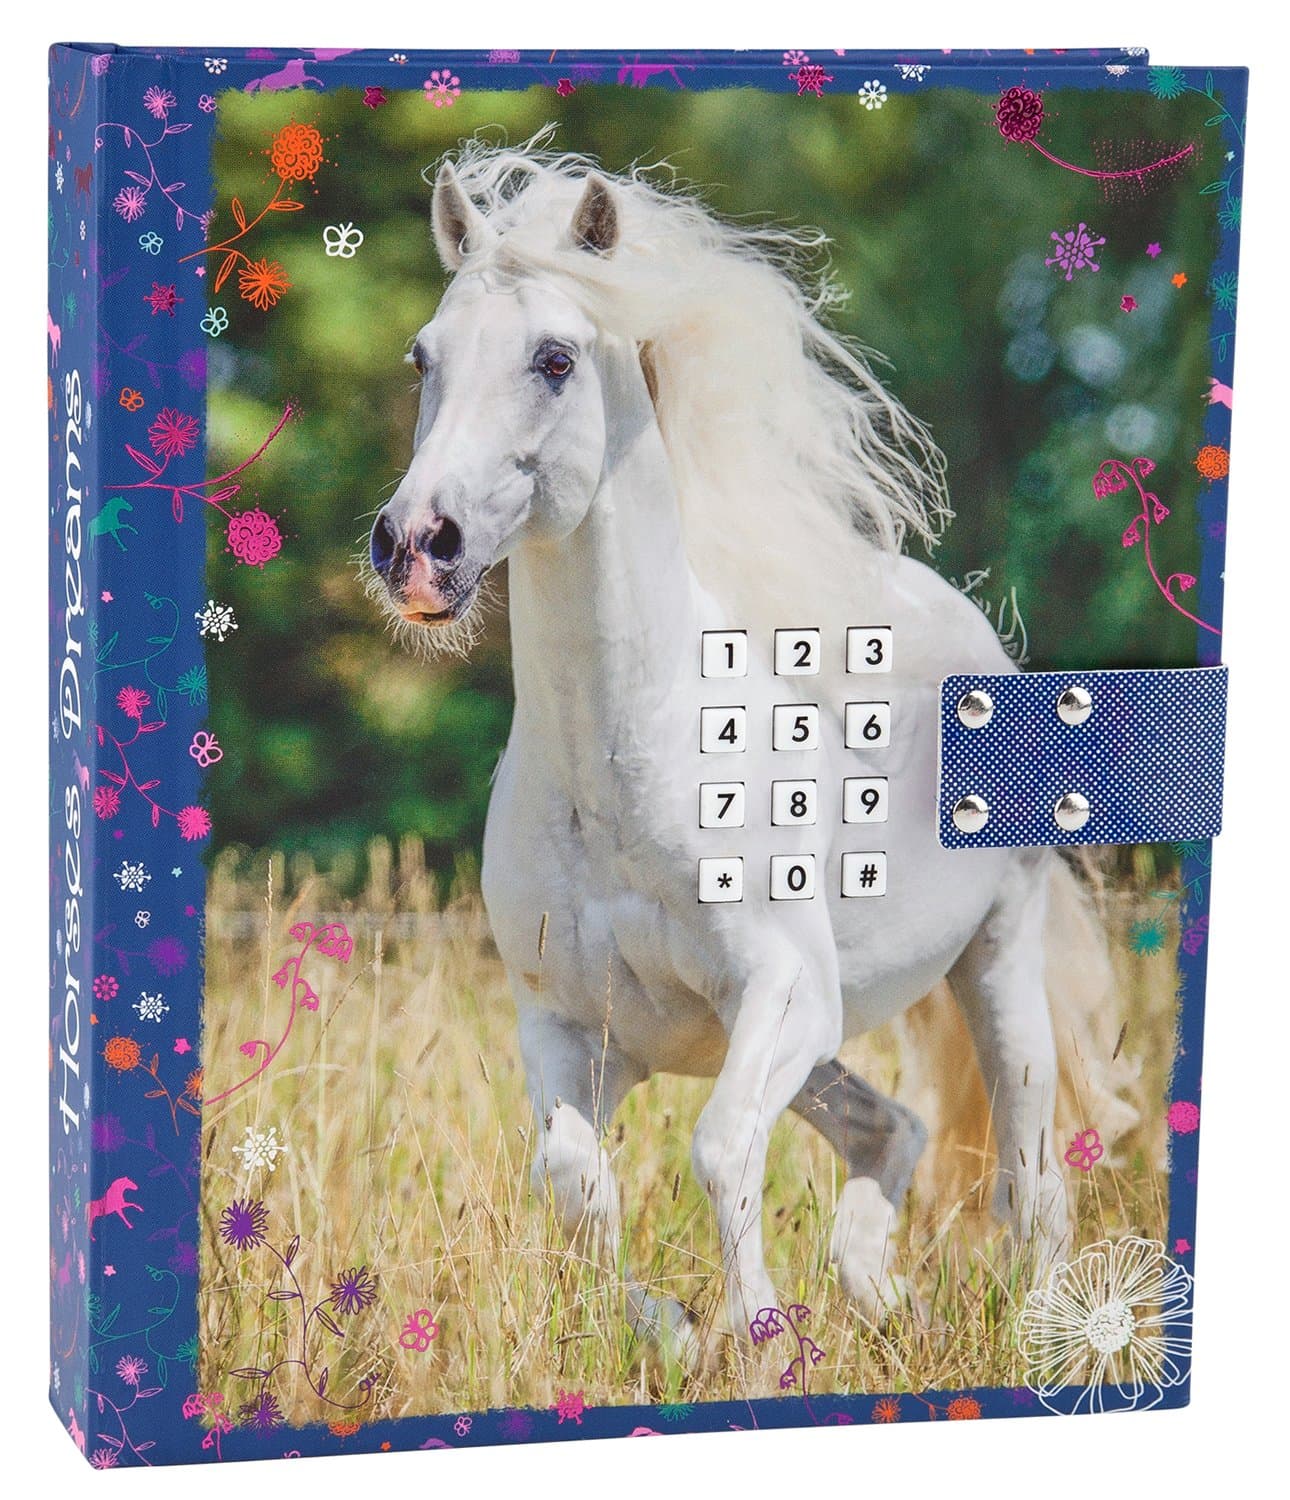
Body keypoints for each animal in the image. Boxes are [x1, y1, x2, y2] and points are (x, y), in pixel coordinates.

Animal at [365, 136, 1126, 1354]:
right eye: (424, 356)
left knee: (1030, 1182)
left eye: (553, 359)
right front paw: (667, 1331)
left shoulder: (781, 991)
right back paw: (880, 1295)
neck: (621, 774)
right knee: (891, 1129)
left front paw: (757, 1334)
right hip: (814, 1045)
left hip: (989, 966)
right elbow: (573, 1181)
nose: (415, 548)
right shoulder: (572, 1030)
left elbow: (719, 1150)